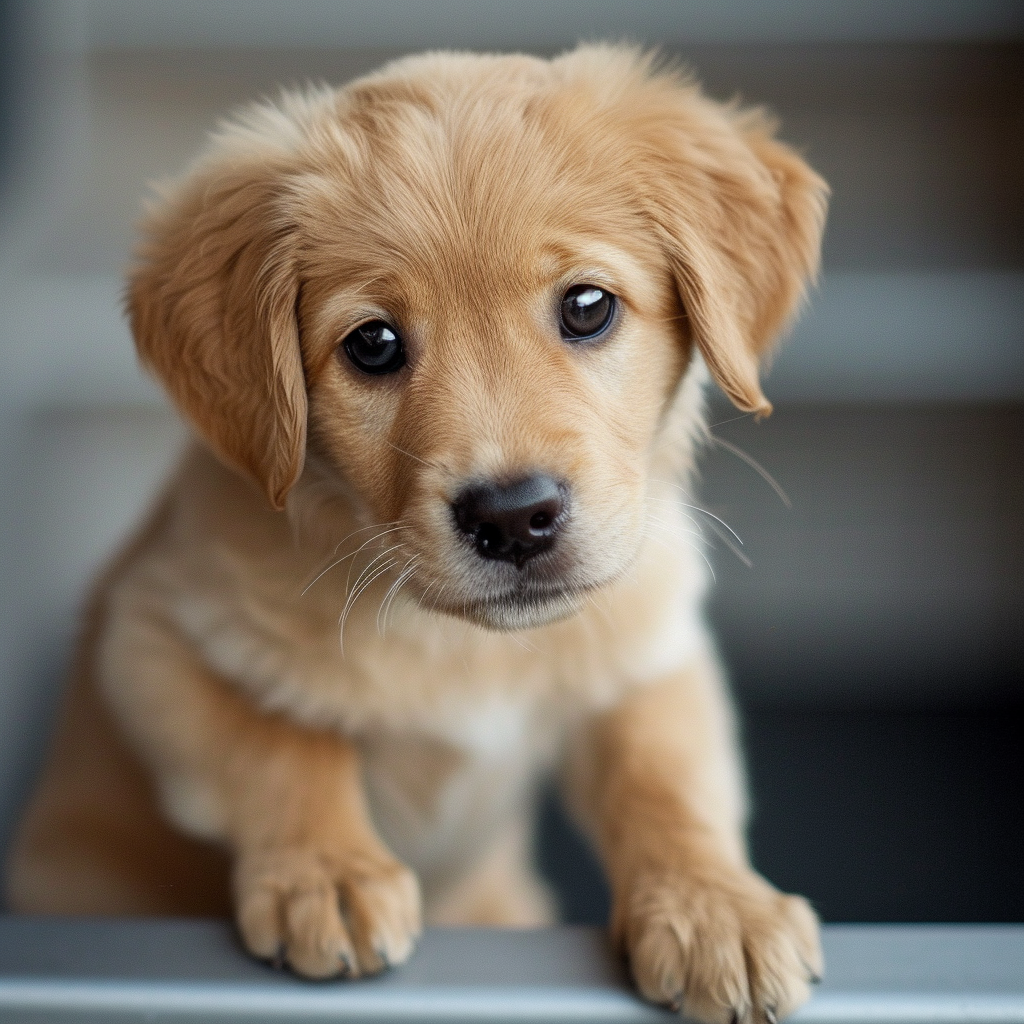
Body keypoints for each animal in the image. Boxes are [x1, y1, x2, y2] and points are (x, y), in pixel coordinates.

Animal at [8, 46, 827, 1024]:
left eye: (587, 305)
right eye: (373, 345)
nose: (513, 516)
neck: (468, 644)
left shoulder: (650, 647)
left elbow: (666, 777)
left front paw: (714, 904)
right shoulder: (149, 634)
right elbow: (276, 742)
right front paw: (329, 871)